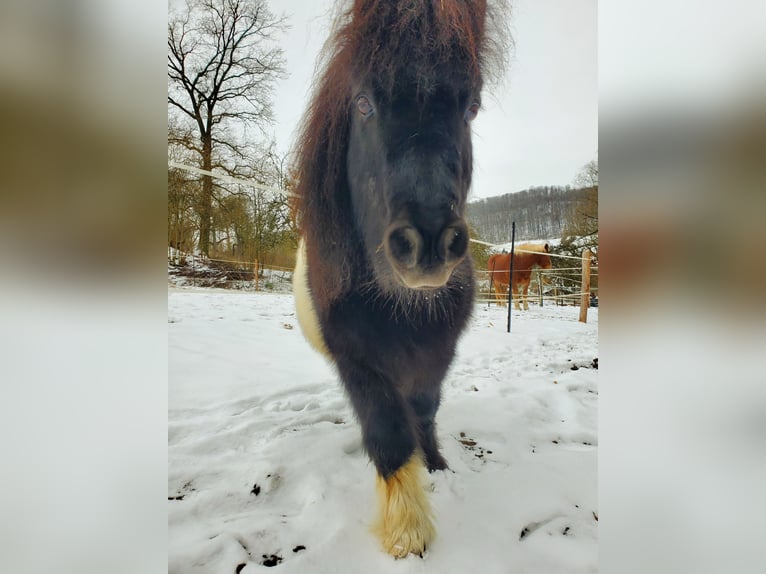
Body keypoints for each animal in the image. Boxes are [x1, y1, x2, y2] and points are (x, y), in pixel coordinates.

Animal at [291, 0, 507, 558]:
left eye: (471, 107)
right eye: (364, 103)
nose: (428, 241)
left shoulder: (438, 351)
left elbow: (424, 410)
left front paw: (434, 464)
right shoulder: (357, 361)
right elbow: (388, 431)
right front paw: (407, 528)